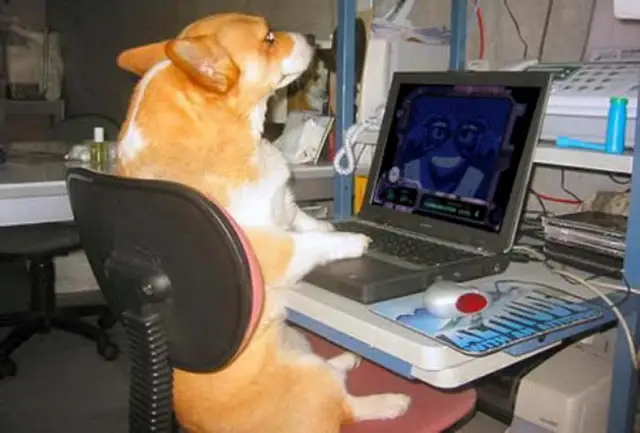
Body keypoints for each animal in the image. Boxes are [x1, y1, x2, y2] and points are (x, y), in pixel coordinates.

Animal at [114, 12, 410, 432]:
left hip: (303, 348)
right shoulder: (272, 250)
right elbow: (311, 243)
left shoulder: (283, 203)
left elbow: (304, 220)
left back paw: (347, 358)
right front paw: (353, 239)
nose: (313, 38)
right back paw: (392, 401)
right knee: (346, 406)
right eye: (268, 39)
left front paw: (330, 226)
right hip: (312, 377)